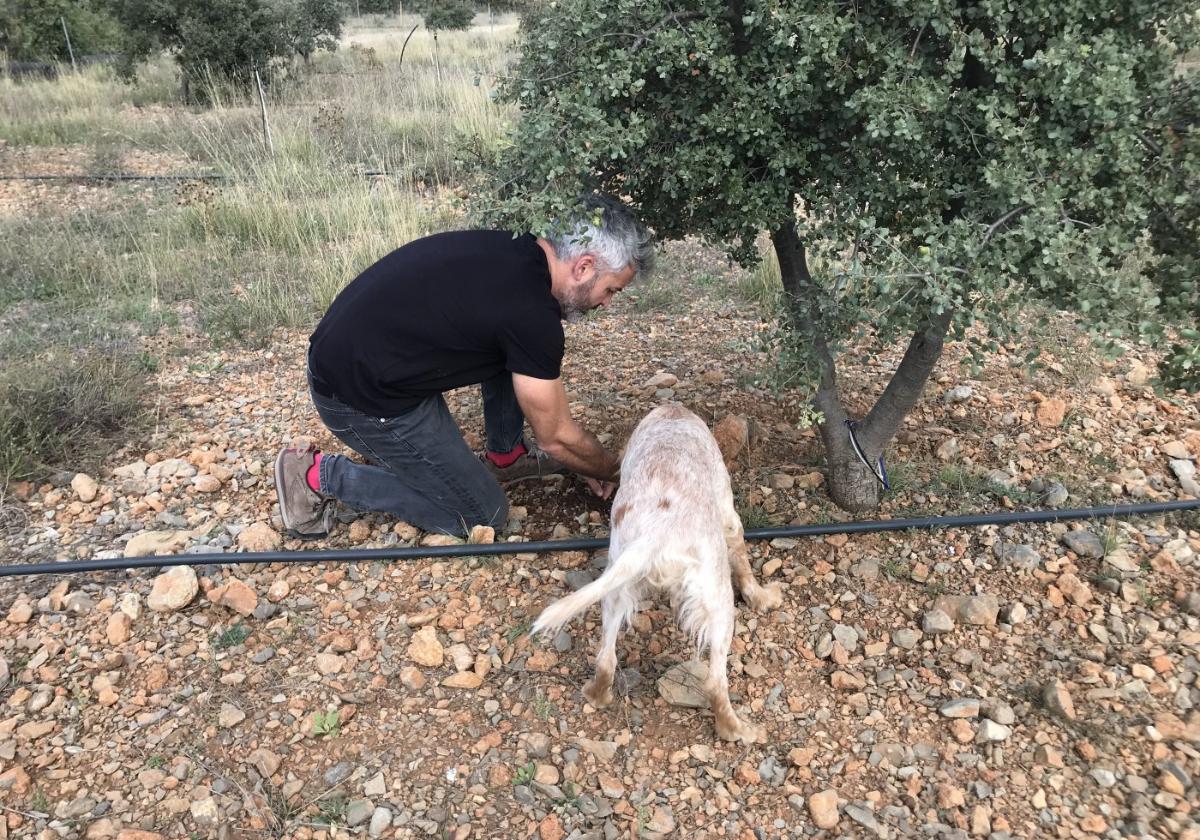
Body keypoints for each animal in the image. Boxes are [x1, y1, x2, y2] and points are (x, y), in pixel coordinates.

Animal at [532, 403, 777, 739]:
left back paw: (596, 695)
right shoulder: (729, 515)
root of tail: (656, 534)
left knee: (606, 659)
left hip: (616, 586)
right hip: (719, 601)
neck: (673, 419)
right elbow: (742, 560)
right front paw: (762, 597)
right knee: (715, 682)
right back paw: (735, 729)